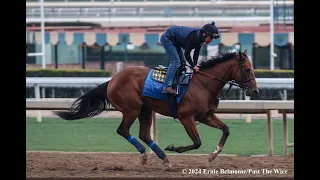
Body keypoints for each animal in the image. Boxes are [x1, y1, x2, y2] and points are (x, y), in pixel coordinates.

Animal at [54, 49, 258, 169]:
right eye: (247, 69)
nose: (255, 90)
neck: (203, 84)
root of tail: (112, 80)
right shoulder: (186, 117)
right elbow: (197, 142)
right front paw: (174, 147)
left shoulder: (205, 115)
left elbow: (226, 129)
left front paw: (213, 155)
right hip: (132, 108)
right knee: (123, 130)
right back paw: (146, 154)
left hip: (145, 109)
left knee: (144, 134)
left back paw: (163, 158)